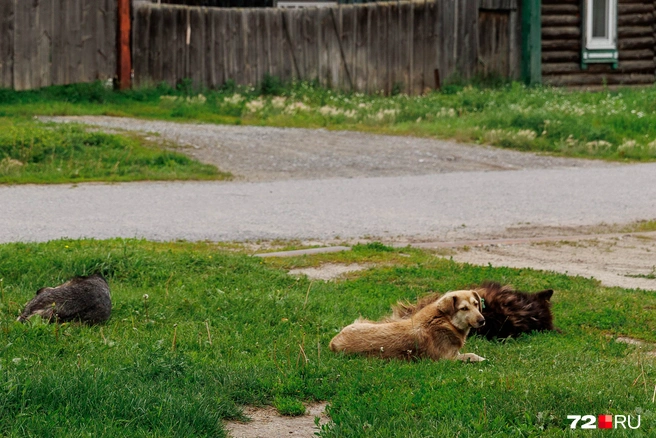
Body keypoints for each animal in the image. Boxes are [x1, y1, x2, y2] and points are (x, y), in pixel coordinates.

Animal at [330, 290, 484, 362]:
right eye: (464, 308)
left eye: (476, 304)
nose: (482, 321)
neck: (444, 319)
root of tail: (333, 343)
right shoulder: (447, 359)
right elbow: (471, 356)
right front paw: (482, 359)